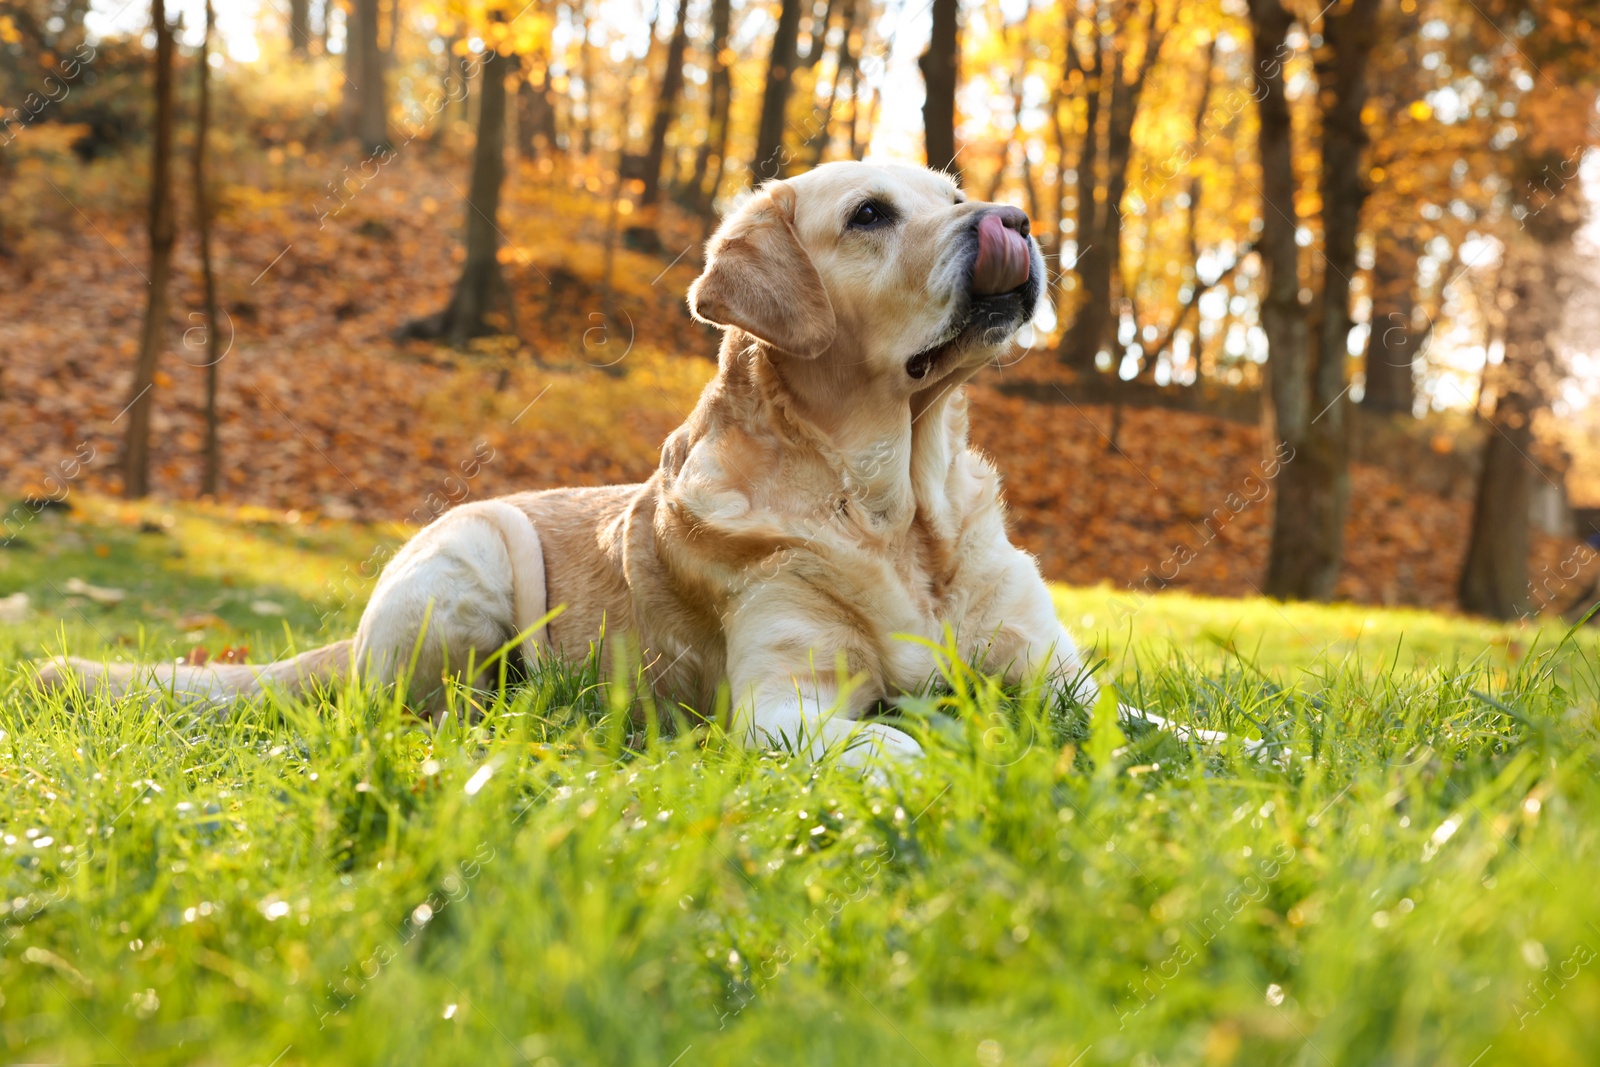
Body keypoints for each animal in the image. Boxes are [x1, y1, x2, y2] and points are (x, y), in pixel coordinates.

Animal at [46, 158, 1100, 764]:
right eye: (872, 214)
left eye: (955, 197)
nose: (1015, 220)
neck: (894, 505)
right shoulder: (781, 704)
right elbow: (892, 743)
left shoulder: (1055, 668)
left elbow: (1124, 715)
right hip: (473, 551)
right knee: (413, 713)